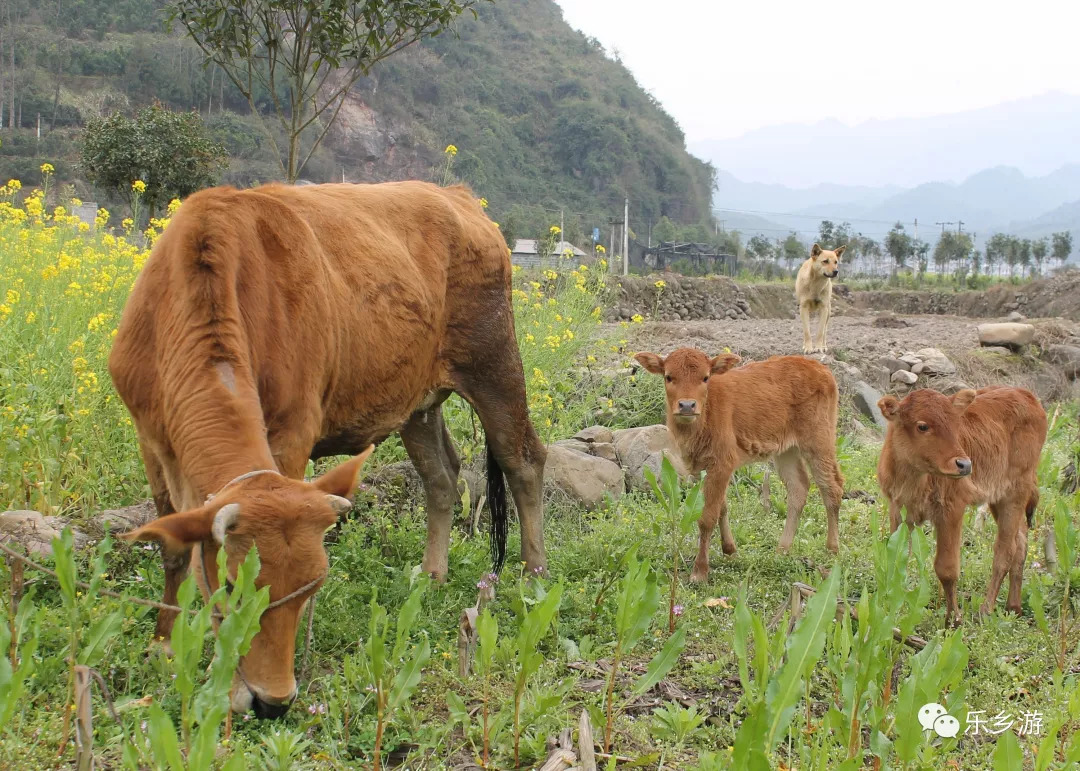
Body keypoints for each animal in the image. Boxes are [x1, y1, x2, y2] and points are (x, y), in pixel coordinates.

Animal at [110, 181, 548, 712]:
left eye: (313, 582)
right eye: (232, 585)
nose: (272, 700)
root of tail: (456, 195)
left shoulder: (291, 434)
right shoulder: (150, 439)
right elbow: (172, 548)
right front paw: (163, 647)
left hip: (495, 363)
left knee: (524, 460)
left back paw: (534, 574)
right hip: (417, 403)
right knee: (442, 477)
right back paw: (431, 574)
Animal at [630, 345, 842, 578]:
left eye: (705, 377)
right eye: (668, 376)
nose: (686, 405)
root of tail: (820, 368)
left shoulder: (722, 463)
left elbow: (707, 517)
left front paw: (700, 571)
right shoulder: (704, 466)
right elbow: (721, 507)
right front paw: (729, 549)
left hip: (819, 441)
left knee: (831, 487)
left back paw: (832, 549)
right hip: (787, 450)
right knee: (799, 487)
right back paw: (782, 550)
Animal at [876, 384, 1045, 626]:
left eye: (956, 425)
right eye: (922, 426)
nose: (964, 464)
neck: (913, 477)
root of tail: (1026, 395)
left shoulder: (952, 509)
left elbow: (947, 569)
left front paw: (953, 620)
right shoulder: (898, 509)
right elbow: (899, 557)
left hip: (1015, 493)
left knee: (1005, 551)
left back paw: (986, 609)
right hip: (999, 498)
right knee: (1020, 542)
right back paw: (1014, 607)